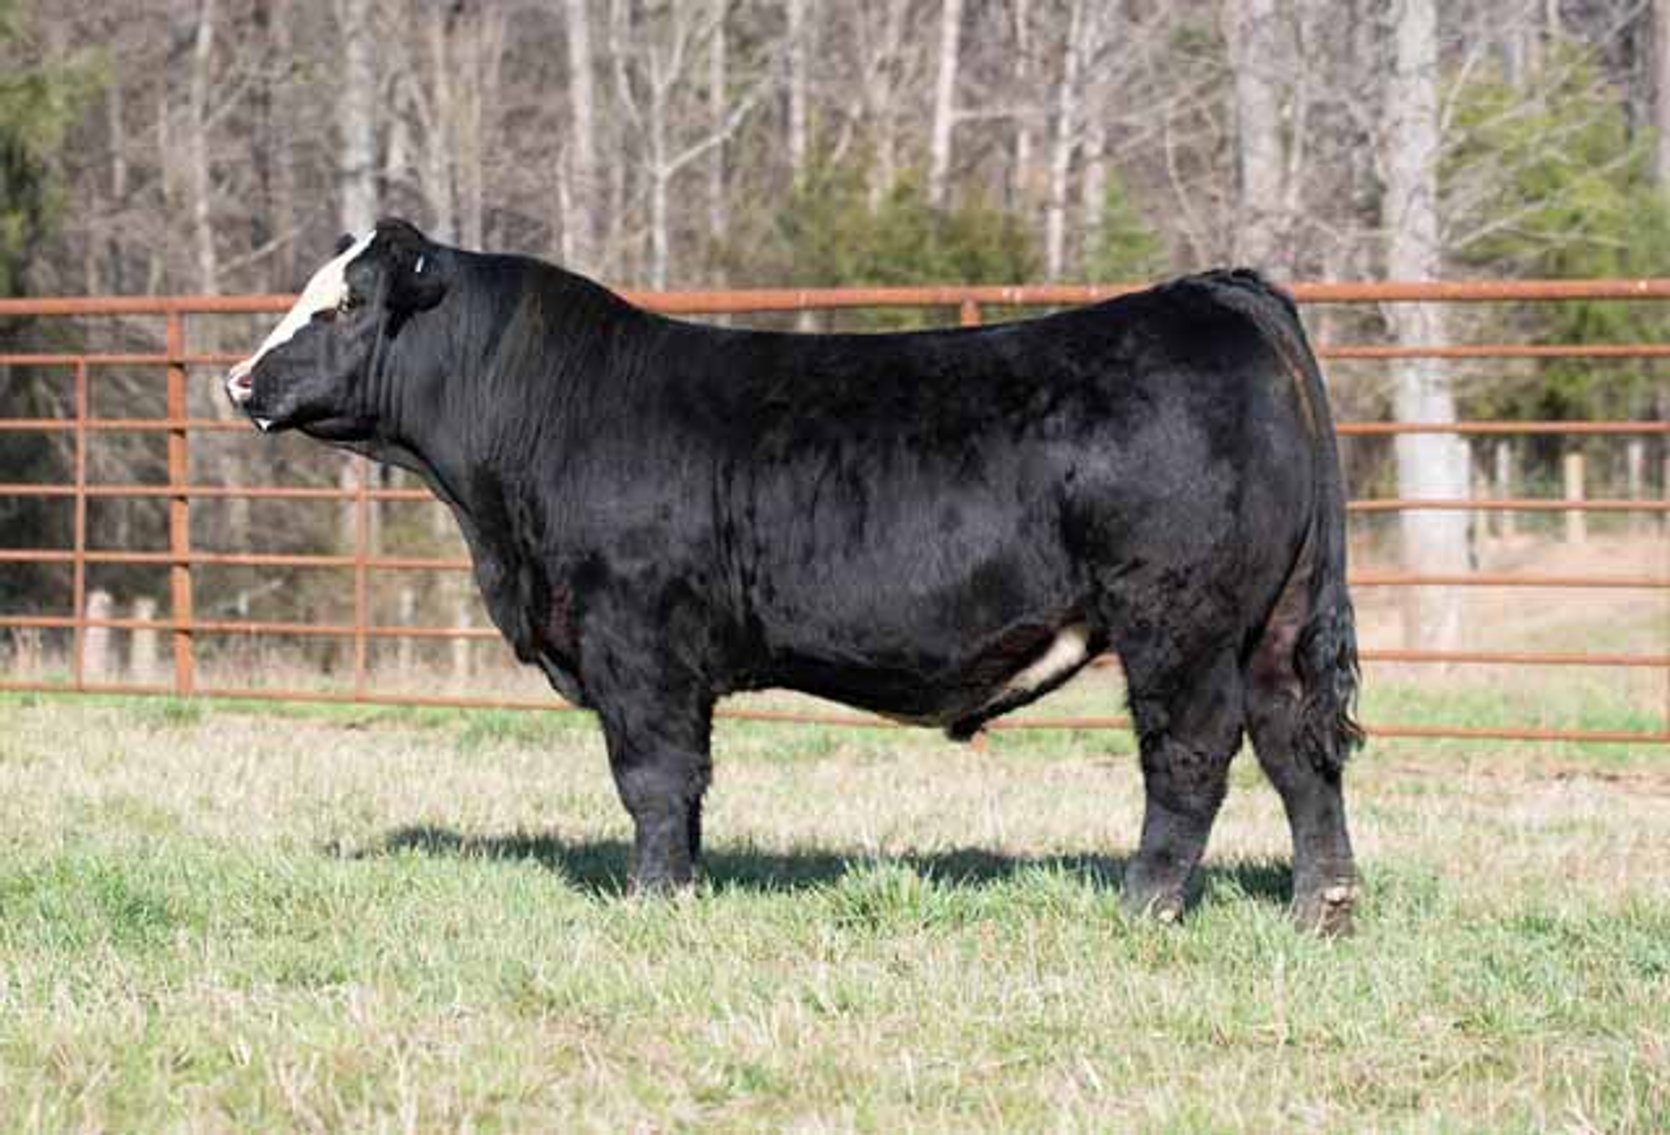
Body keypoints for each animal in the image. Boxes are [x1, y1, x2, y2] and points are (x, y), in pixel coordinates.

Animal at [226, 218, 1364, 933]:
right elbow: (686, 786)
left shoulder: (635, 645)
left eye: (345, 305)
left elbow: (651, 778)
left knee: (1190, 757)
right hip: (1273, 624)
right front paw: (684, 888)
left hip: (1177, 622)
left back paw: (1143, 908)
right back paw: (1321, 910)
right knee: (1298, 751)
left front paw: (650, 903)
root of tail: (1211, 293)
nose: (240, 380)